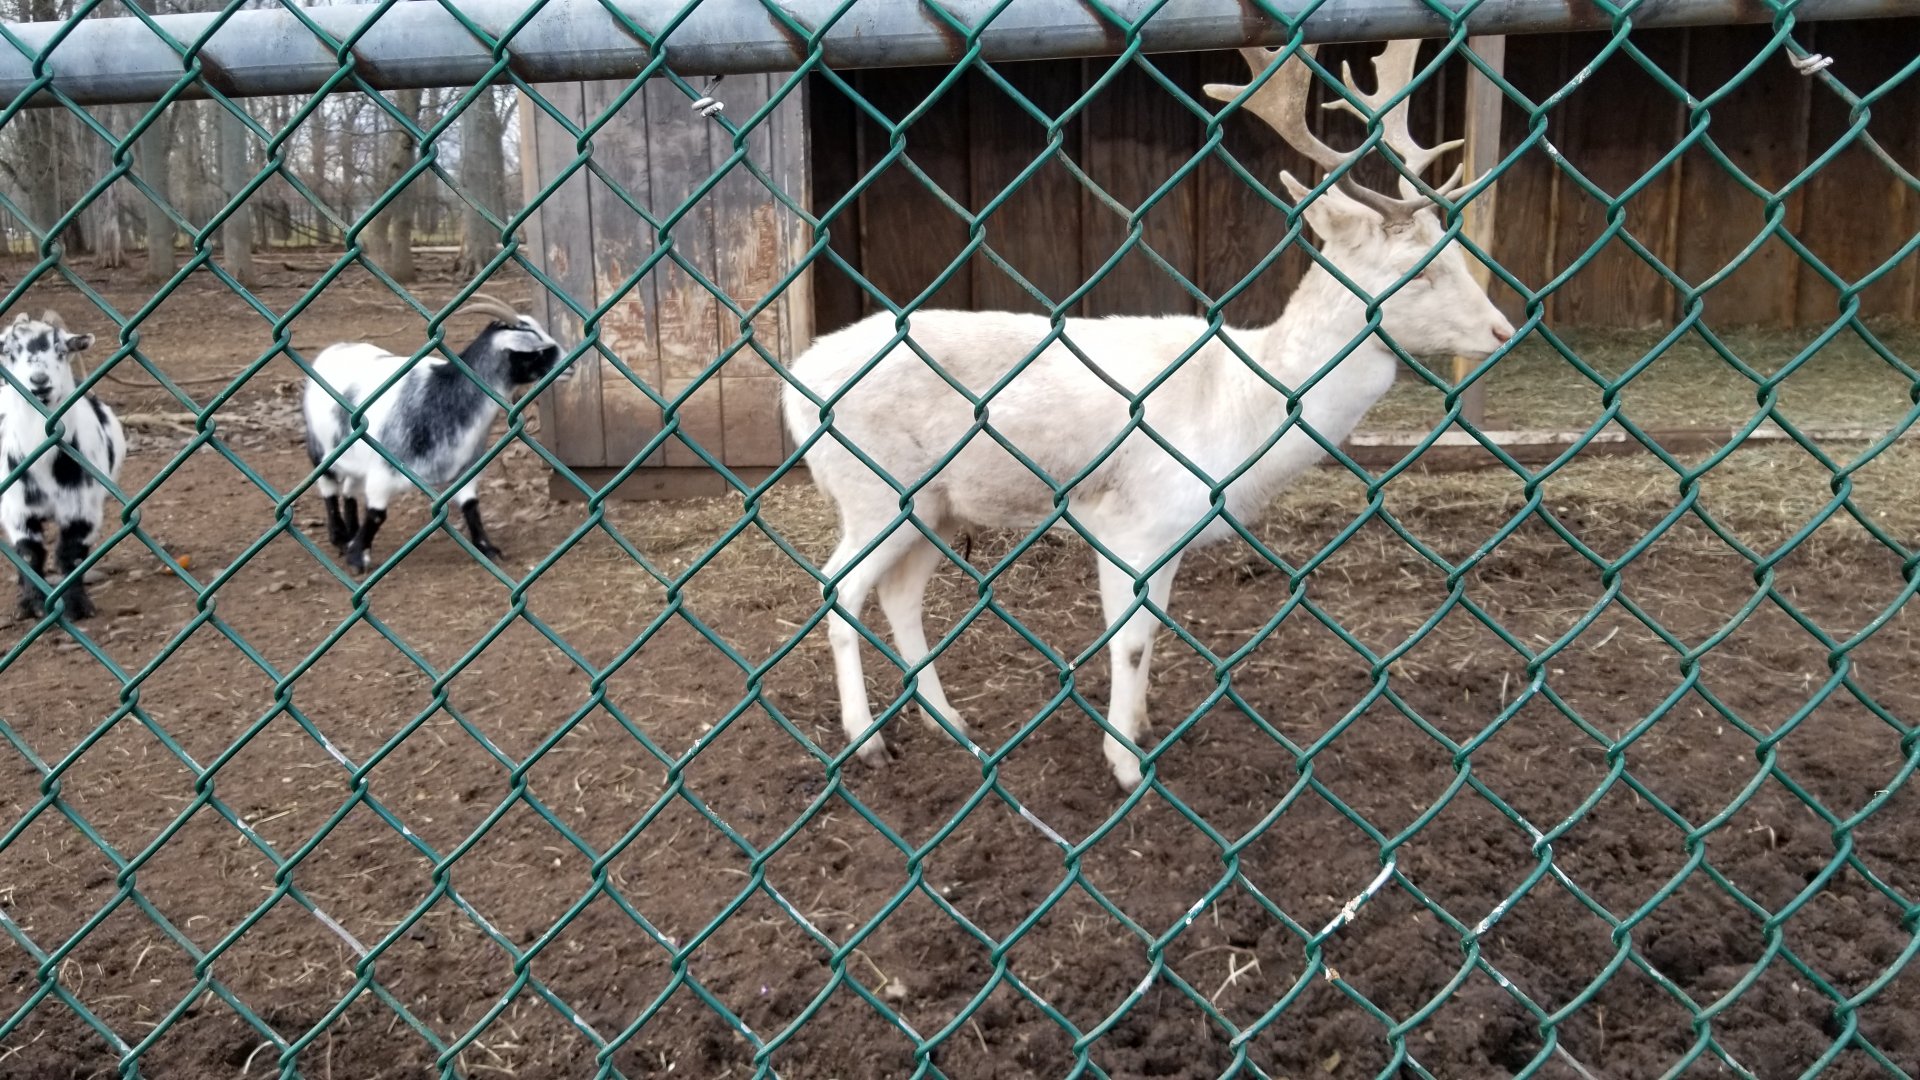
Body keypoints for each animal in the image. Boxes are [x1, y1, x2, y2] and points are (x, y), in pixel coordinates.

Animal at [1, 310, 125, 620]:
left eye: (61, 349)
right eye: (8, 351)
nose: (39, 381)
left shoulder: (83, 508)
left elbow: (71, 554)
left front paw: (77, 606)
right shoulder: (18, 510)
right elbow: (29, 553)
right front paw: (29, 605)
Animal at [303, 294, 569, 573]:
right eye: (537, 352)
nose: (569, 364)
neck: (440, 396)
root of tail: (333, 349)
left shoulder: (466, 468)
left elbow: (472, 507)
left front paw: (487, 548)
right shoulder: (383, 473)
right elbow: (377, 514)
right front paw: (358, 557)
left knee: (349, 489)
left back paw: (351, 533)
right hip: (322, 449)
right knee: (328, 486)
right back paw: (340, 537)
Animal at [781, 40, 1515, 790]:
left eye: (1458, 252)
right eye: (1420, 269)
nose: (1502, 329)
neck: (1240, 414)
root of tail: (797, 383)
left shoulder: (1172, 532)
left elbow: (1154, 633)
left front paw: (1141, 730)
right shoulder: (1130, 525)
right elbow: (1130, 642)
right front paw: (1127, 767)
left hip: (936, 507)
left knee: (898, 596)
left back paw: (949, 722)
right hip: (874, 492)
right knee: (838, 589)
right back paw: (867, 739)